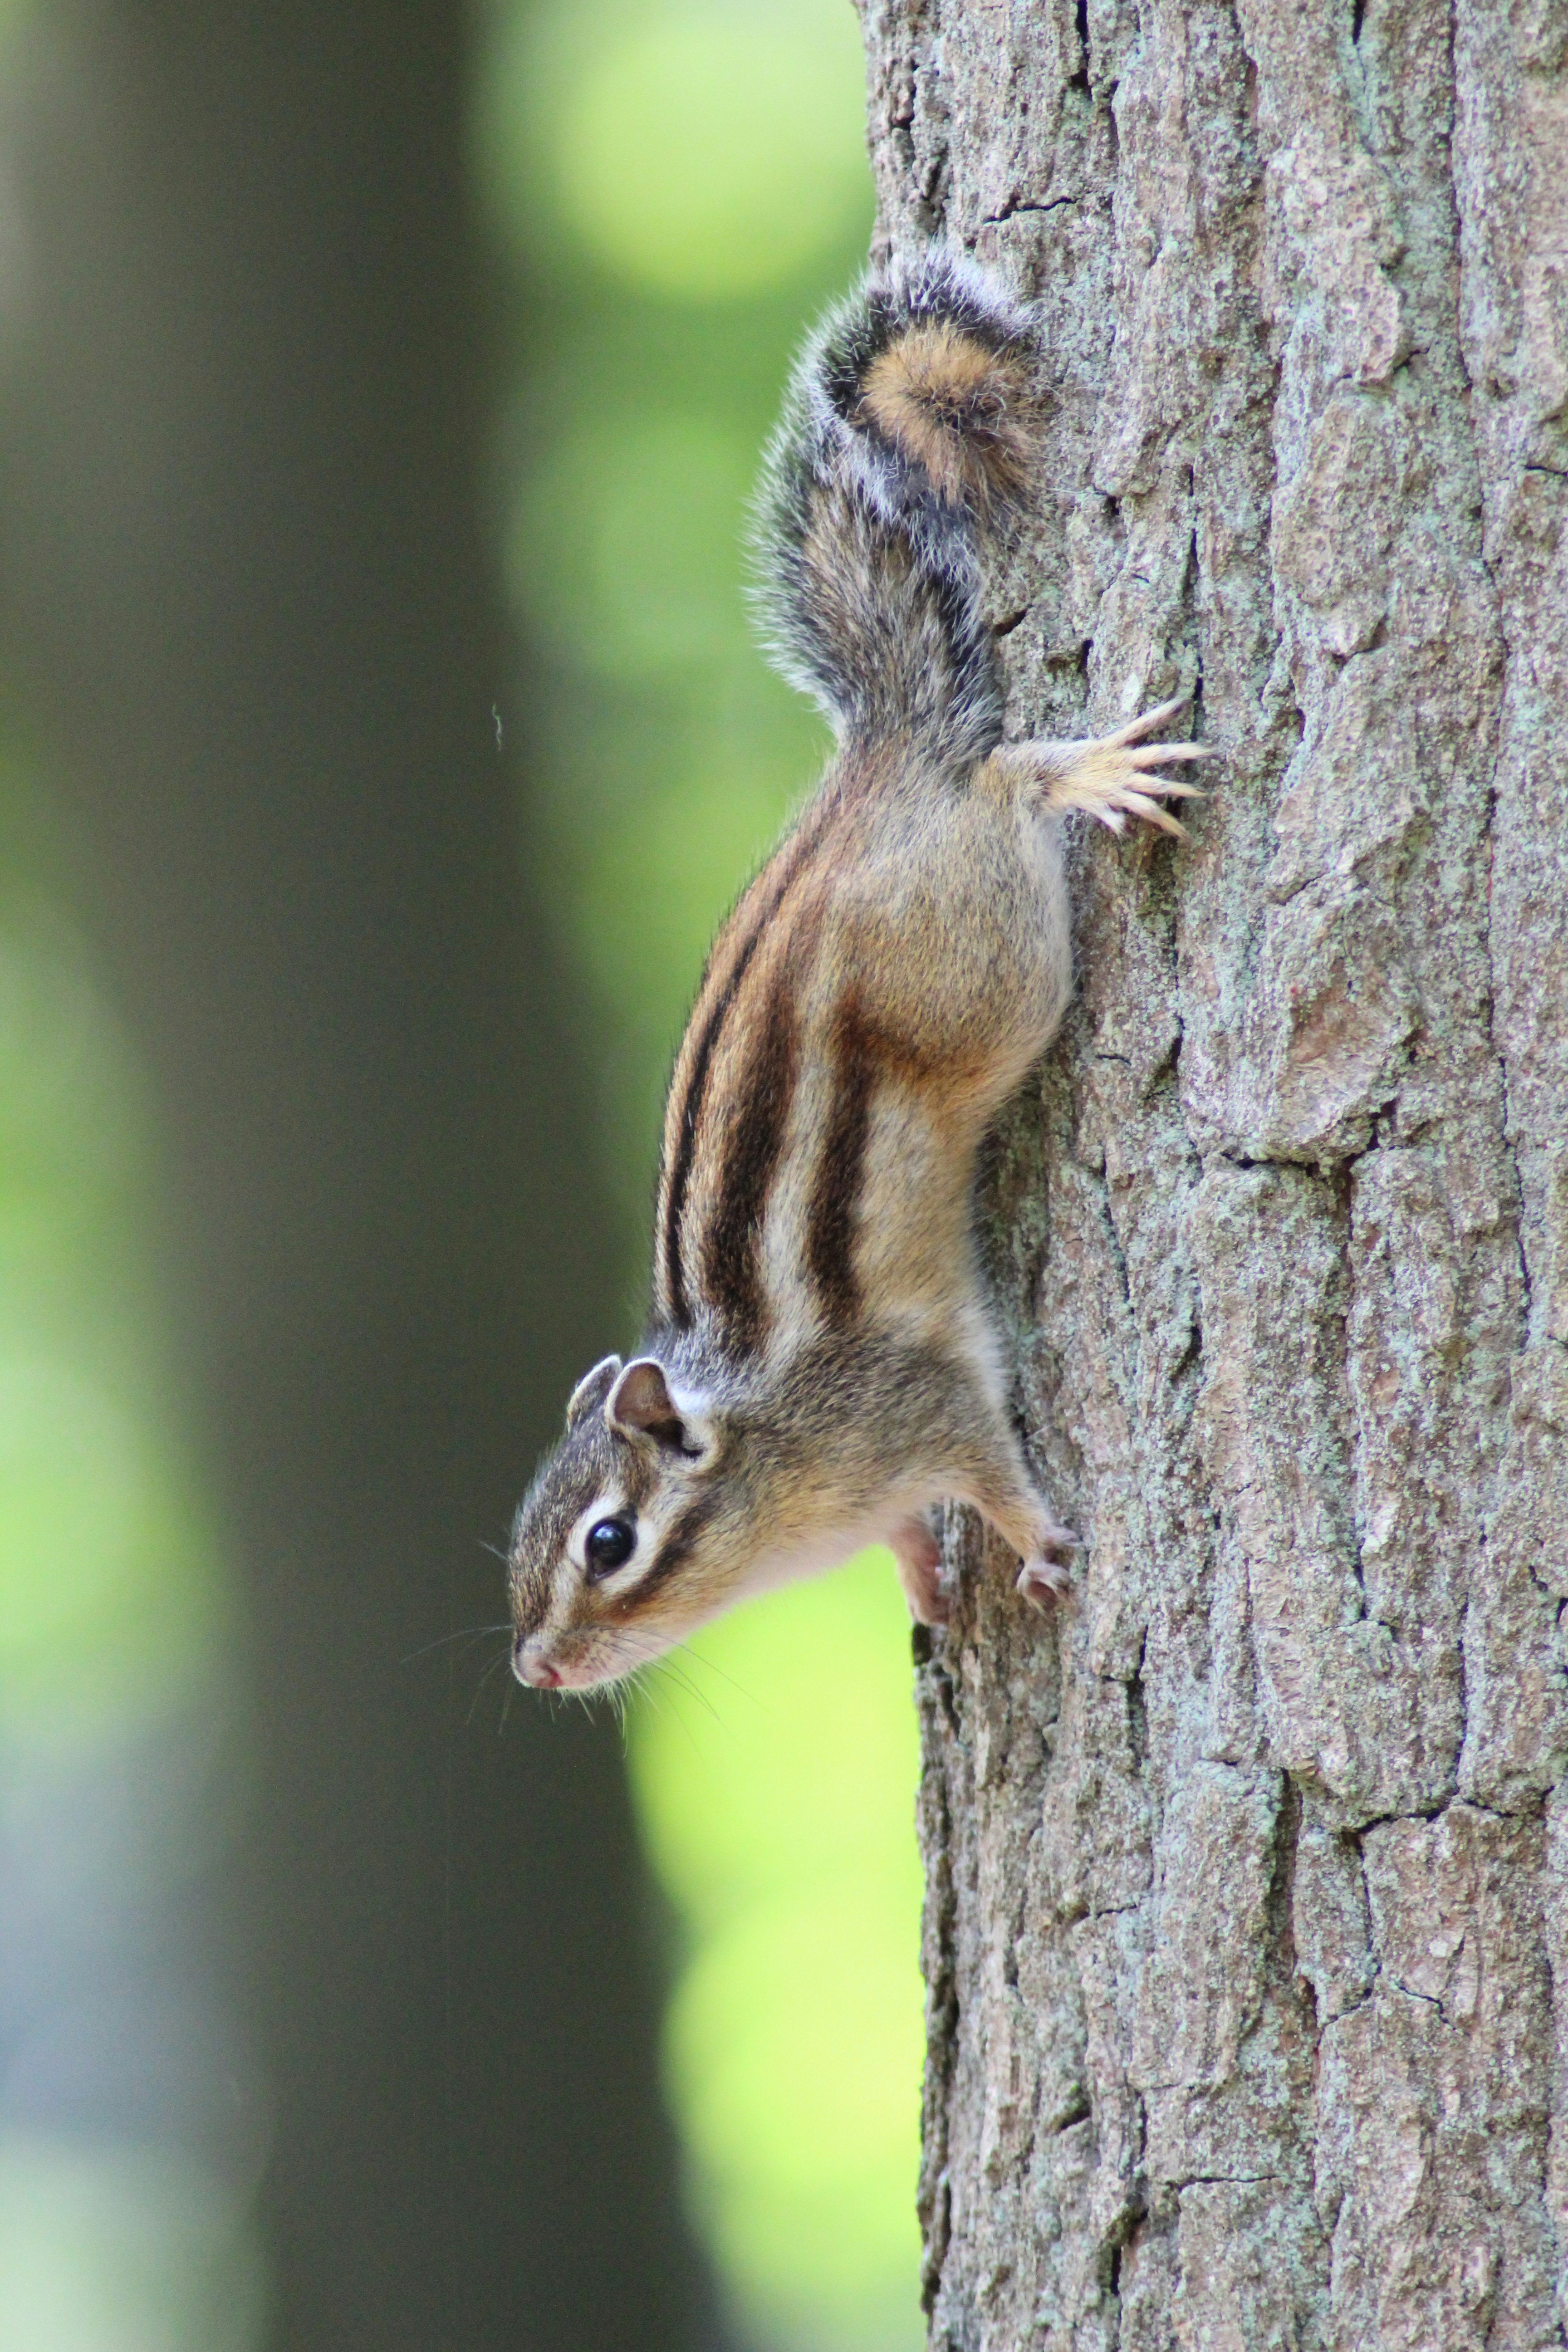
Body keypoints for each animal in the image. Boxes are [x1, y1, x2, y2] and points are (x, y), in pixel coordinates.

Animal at [510, 248, 1209, 1692]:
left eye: (607, 1542)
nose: (534, 1670)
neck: (764, 1441)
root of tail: (879, 759)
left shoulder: (911, 1409)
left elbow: (991, 1465)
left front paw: (1037, 1547)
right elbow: (906, 1533)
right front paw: (931, 1586)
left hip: (985, 961)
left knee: (1005, 778)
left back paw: (1087, 773)